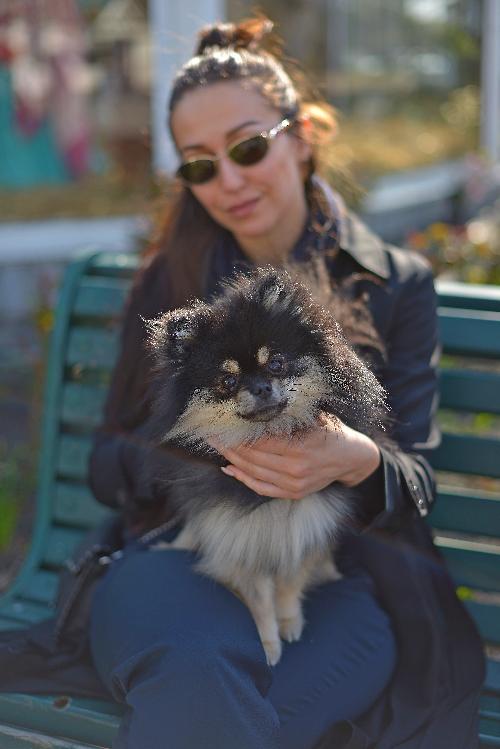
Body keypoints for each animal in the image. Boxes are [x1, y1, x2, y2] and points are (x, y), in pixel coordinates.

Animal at [143, 266, 388, 664]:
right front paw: (268, 642)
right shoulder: (236, 534)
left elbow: (290, 580)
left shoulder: (307, 521)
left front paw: (289, 621)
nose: (259, 387)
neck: (272, 433)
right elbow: (258, 596)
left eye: (276, 362)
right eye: (227, 381)